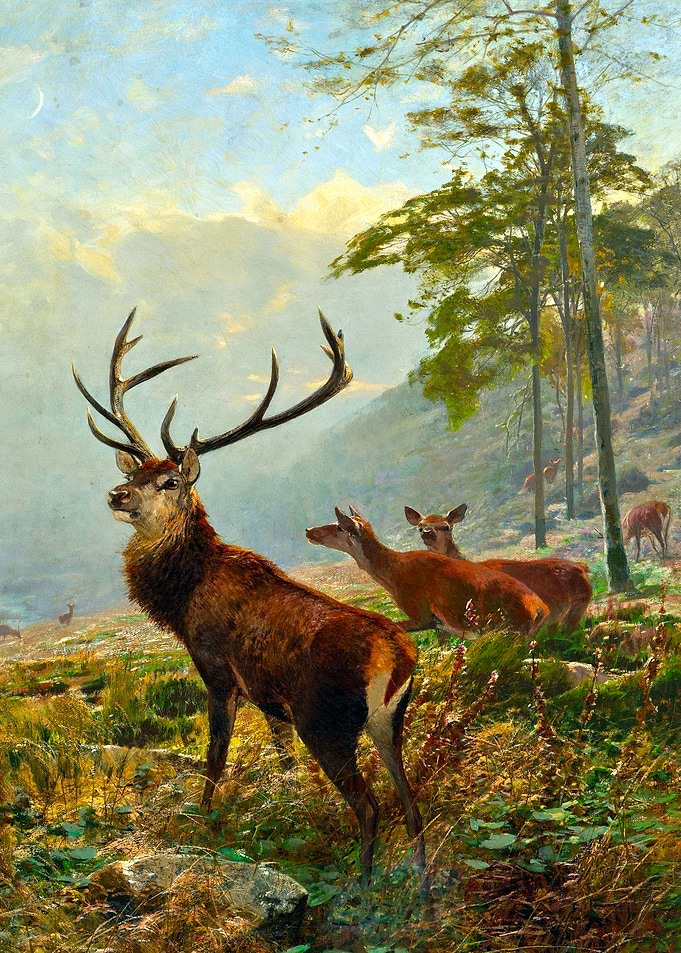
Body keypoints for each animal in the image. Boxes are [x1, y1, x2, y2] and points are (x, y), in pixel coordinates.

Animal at [73, 307, 425, 889]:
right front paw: (286, 806)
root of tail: (399, 656)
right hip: (388, 722)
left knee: (371, 806)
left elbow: (215, 757)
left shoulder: (217, 668)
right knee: (411, 802)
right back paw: (421, 882)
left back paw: (362, 886)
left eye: (170, 481)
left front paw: (203, 822)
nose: (116, 494)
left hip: (327, 720)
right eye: (138, 471)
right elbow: (284, 761)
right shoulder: (269, 697)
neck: (181, 599)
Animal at [306, 507, 548, 637]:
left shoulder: (421, 613)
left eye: (339, 526)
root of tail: (540, 608)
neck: (394, 574)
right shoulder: (441, 625)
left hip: (505, 630)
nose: (309, 530)